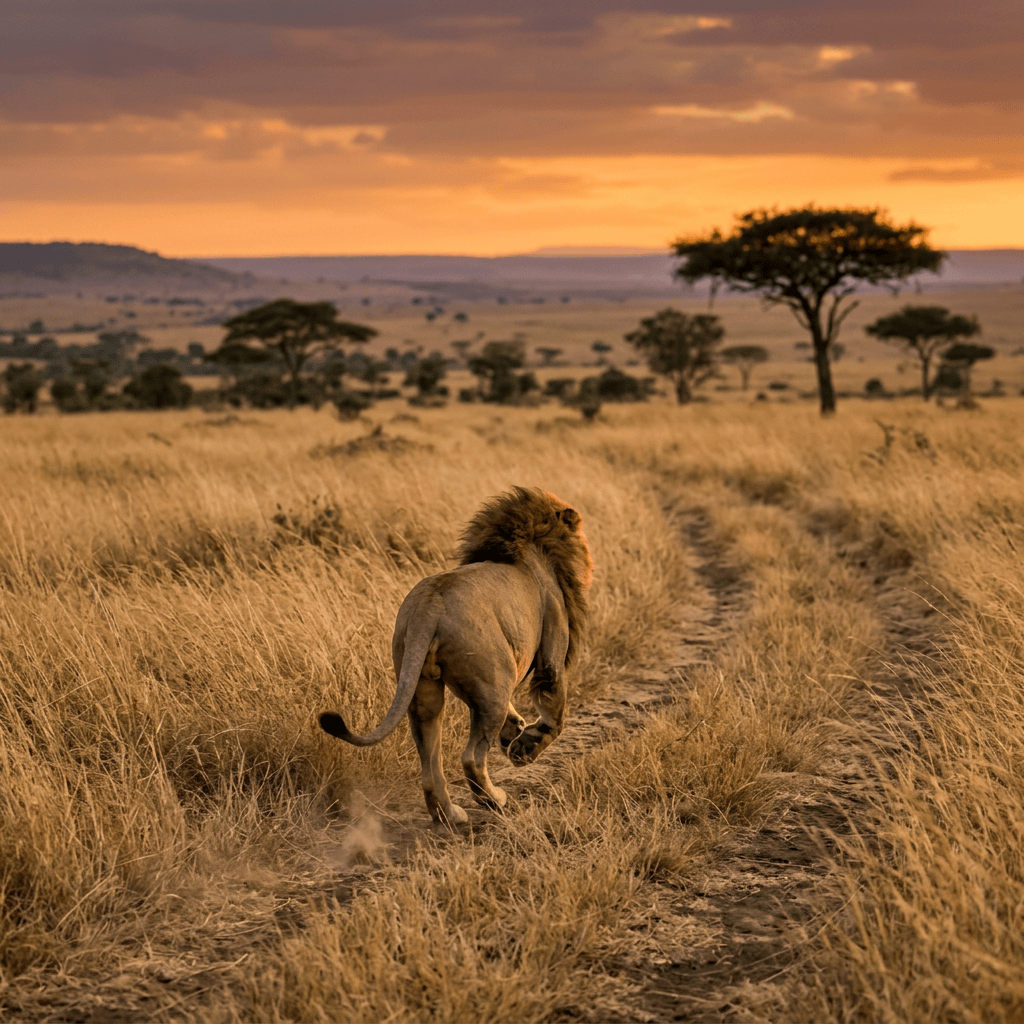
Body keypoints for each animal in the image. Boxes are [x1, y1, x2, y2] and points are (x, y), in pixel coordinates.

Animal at [319, 486, 593, 826]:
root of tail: (428, 607)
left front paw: (514, 730)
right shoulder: (551, 652)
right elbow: (555, 715)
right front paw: (523, 748)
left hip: (422, 688)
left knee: (429, 761)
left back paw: (450, 815)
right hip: (491, 685)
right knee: (471, 758)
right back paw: (495, 801)